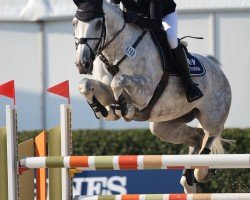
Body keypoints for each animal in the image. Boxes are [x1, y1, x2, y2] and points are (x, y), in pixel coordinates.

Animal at [73, 0, 231, 193]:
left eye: (97, 24)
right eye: (74, 23)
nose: (82, 64)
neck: (117, 53)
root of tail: (217, 67)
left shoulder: (145, 92)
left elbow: (118, 81)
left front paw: (125, 108)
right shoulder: (104, 89)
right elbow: (86, 85)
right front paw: (104, 110)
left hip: (212, 116)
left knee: (211, 134)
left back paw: (201, 172)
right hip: (164, 125)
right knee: (197, 136)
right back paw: (189, 182)